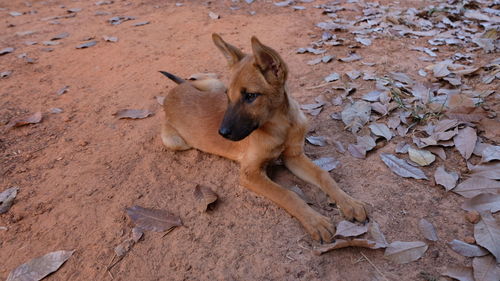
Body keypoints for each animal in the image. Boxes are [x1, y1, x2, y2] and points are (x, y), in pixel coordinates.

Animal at [160, 34, 368, 242]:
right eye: (229, 97)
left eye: (251, 96)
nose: (222, 133)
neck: (281, 126)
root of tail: (173, 92)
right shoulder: (250, 173)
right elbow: (287, 194)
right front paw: (315, 221)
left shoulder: (293, 156)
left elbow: (324, 175)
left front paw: (349, 202)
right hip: (176, 141)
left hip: (214, 85)